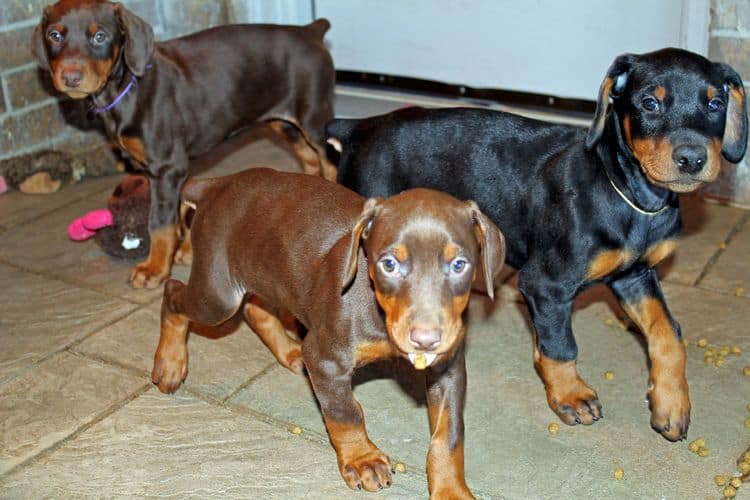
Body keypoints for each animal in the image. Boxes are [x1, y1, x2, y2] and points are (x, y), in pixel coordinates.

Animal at [33, 0, 336, 288]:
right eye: (55, 35)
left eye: (100, 36)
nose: (71, 77)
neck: (126, 88)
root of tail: (310, 30)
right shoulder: (163, 169)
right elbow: (180, 211)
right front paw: (185, 249)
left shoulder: (166, 166)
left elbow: (160, 222)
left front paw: (154, 268)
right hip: (283, 123)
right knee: (310, 159)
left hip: (314, 119)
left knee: (330, 160)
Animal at [151, 169, 506, 500]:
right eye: (389, 264)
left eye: (459, 264)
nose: (426, 339)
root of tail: (216, 183)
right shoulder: (325, 360)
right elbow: (345, 413)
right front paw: (362, 459)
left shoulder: (448, 369)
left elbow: (449, 436)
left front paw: (450, 489)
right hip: (218, 294)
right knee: (174, 293)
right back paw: (170, 363)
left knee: (255, 308)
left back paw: (290, 351)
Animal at [330, 48, 750, 440]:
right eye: (650, 102)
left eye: (715, 103)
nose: (692, 158)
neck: (628, 193)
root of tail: (358, 128)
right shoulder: (545, 284)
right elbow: (560, 345)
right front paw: (571, 395)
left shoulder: (635, 275)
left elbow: (669, 332)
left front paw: (671, 403)